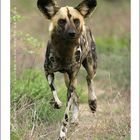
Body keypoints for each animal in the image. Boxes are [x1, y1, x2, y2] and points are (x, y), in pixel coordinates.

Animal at [36, 0, 97, 139]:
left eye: (76, 21)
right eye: (62, 21)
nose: (72, 33)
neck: (64, 50)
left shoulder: (72, 79)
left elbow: (65, 116)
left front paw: (62, 133)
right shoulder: (48, 72)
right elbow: (53, 90)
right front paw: (56, 103)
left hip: (90, 67)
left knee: (89, 78)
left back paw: (92, 102)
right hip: (67, 79)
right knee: (77, 97)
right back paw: (75, 118)